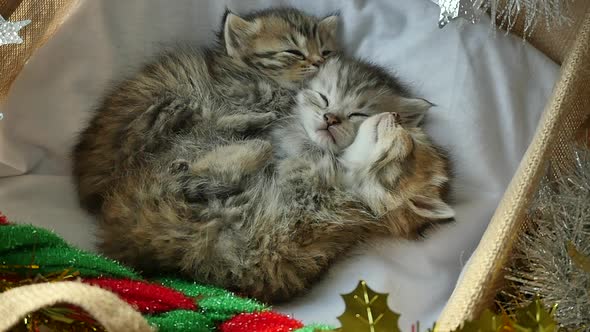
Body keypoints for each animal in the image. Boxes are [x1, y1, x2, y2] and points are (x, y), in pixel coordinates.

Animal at [72, 8, 340, 215]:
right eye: (294, 51)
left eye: (326, 52)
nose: (320, 62)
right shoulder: (242, 96)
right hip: (165, 111)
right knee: (200, 133)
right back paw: (253, 133)